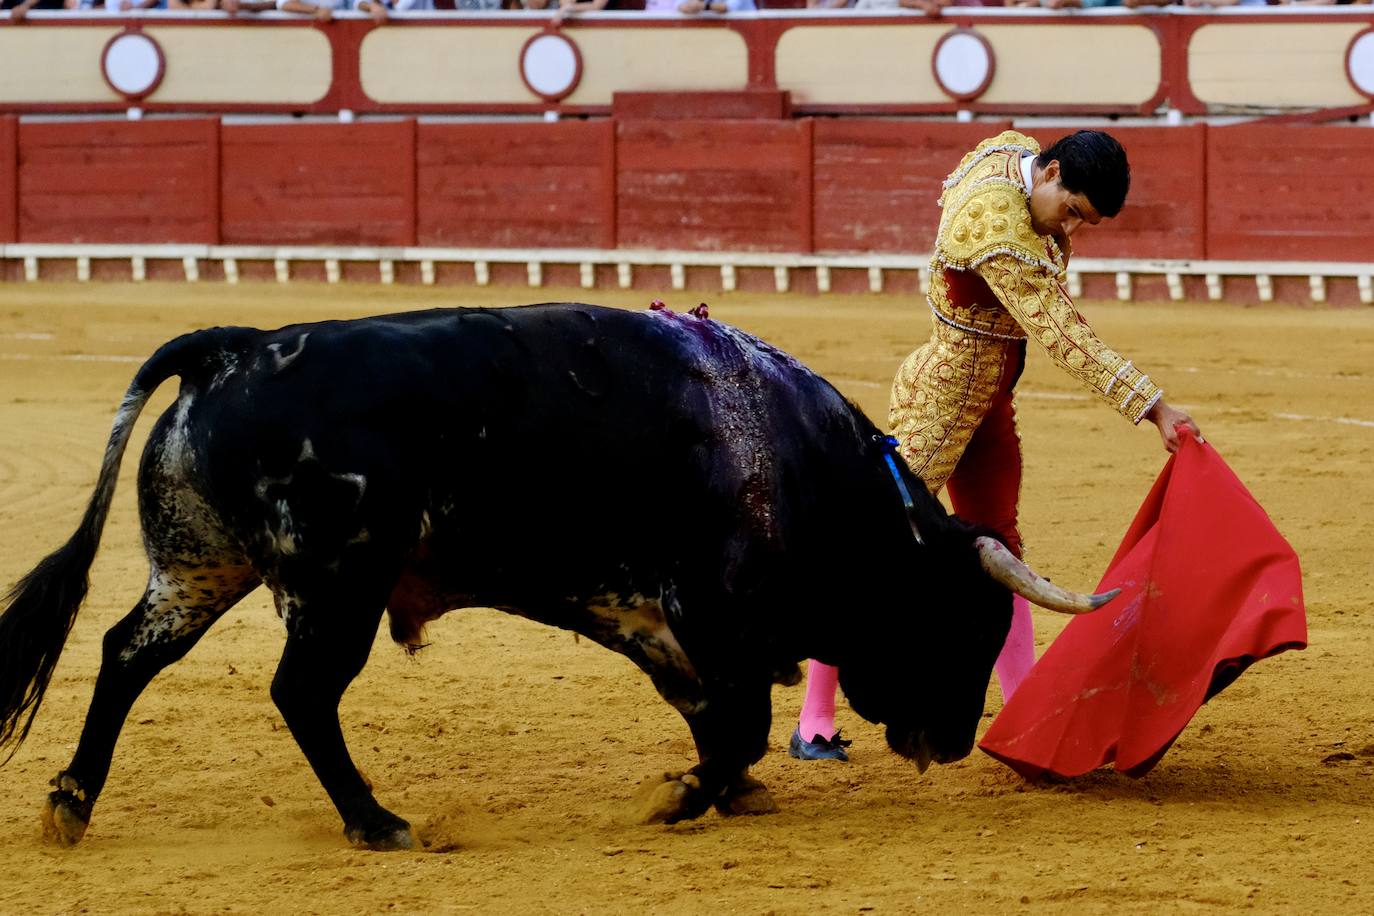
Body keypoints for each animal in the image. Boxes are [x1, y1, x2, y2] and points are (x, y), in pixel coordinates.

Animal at [0, 304, 1077, 851]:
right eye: (959, 622)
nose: (954, 740)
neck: (805, 467)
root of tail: (232, 349)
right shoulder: (709, 610)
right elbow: (736, 723)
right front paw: (679, 797)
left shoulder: (660, 623)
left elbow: (718, 718)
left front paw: (728, 794)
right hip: (339, 582)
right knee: (302, 690)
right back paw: (379, 822)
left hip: (200, 563)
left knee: (126, 652)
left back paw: (71, 803)